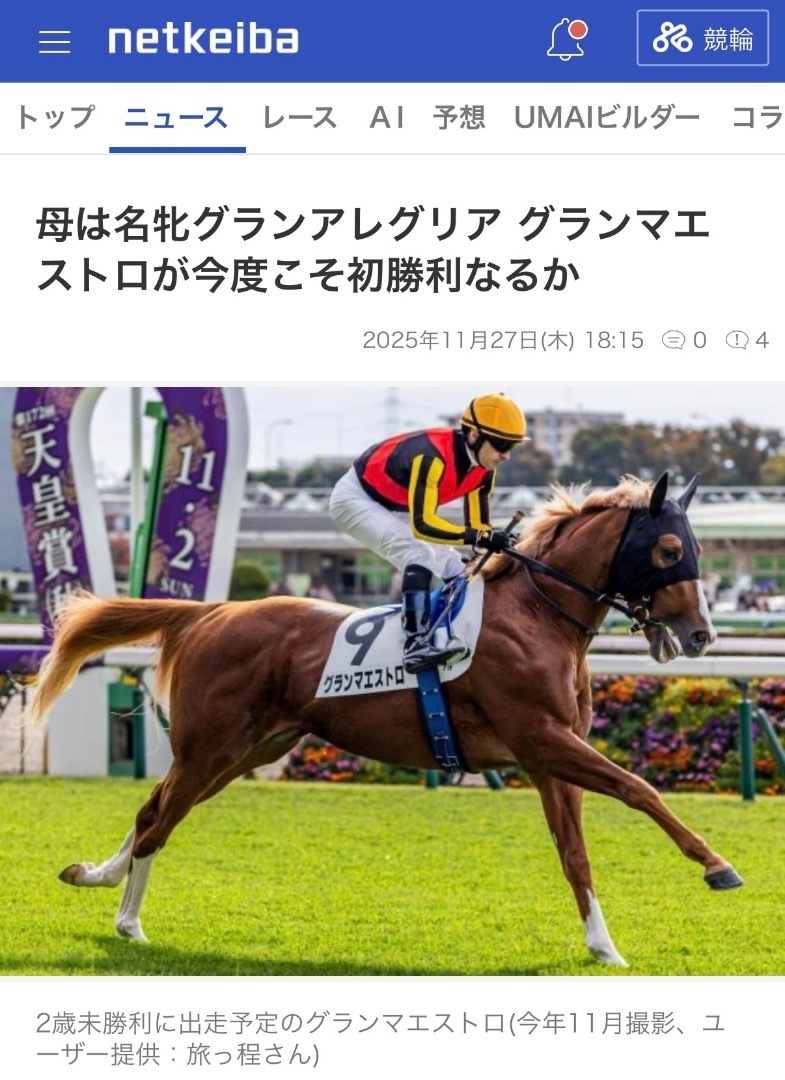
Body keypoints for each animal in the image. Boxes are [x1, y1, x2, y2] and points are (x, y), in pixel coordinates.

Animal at [26, 472, 742, 967]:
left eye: (693, 549)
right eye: (668, 549)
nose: (701, 634)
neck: (539, 617)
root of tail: (210, 612)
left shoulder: (548, 757)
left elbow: (575, 855)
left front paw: (603, 946)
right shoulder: (542, 738)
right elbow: (640, 789)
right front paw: (716, 865)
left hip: (249, 749)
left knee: (155, 809)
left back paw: (98, 880)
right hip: (211, 747)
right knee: (158, 820)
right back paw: (126, 920)